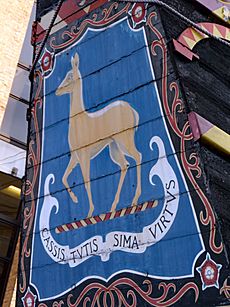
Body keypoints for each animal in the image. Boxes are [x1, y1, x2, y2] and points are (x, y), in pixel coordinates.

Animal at [55, 53, 142, 218]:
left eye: (70, 75)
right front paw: (75, 199)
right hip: (114, 146)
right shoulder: (74, 156)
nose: (57, 90)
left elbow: (87, 180)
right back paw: (113, 207)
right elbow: (63, 178)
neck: (80, 120)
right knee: (125, 165)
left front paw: (89, 212)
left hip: (124, 140)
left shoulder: (84, 155)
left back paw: (134, 200)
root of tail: (133, 111)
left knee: (138, 156)